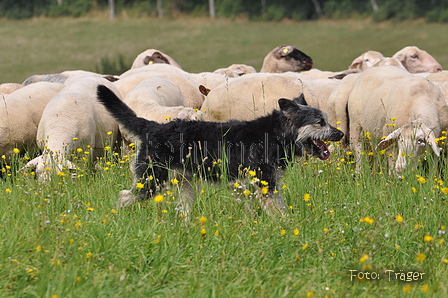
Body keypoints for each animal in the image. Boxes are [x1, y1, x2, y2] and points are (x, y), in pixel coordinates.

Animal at [96, 85, 344, 215]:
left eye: (326, 120)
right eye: (320, 122)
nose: (340, 134)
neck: (275, 135)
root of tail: (153, 126)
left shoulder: (258, 186)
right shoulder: (266, 185)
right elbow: (280, 213)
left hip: (184, 185)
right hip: (151, 180)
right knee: (124, 196)